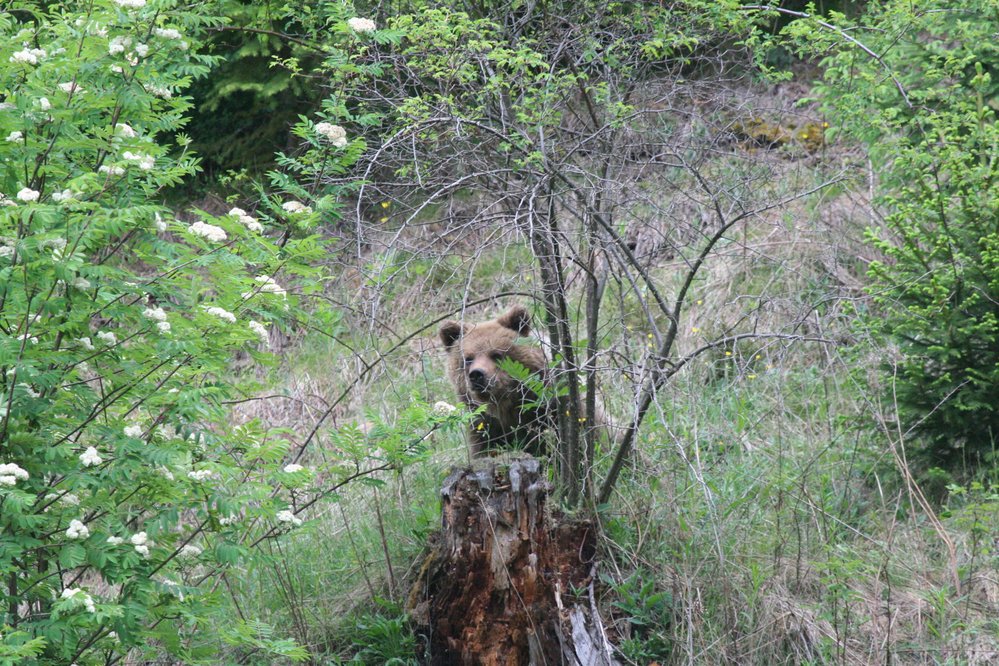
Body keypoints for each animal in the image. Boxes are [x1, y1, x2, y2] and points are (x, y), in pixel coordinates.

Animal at [444, 306, 560, 456]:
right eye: (468, 359)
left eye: (496, 354)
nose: (476, 375)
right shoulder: (483, 425)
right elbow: (483, 449)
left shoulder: (545, 409)